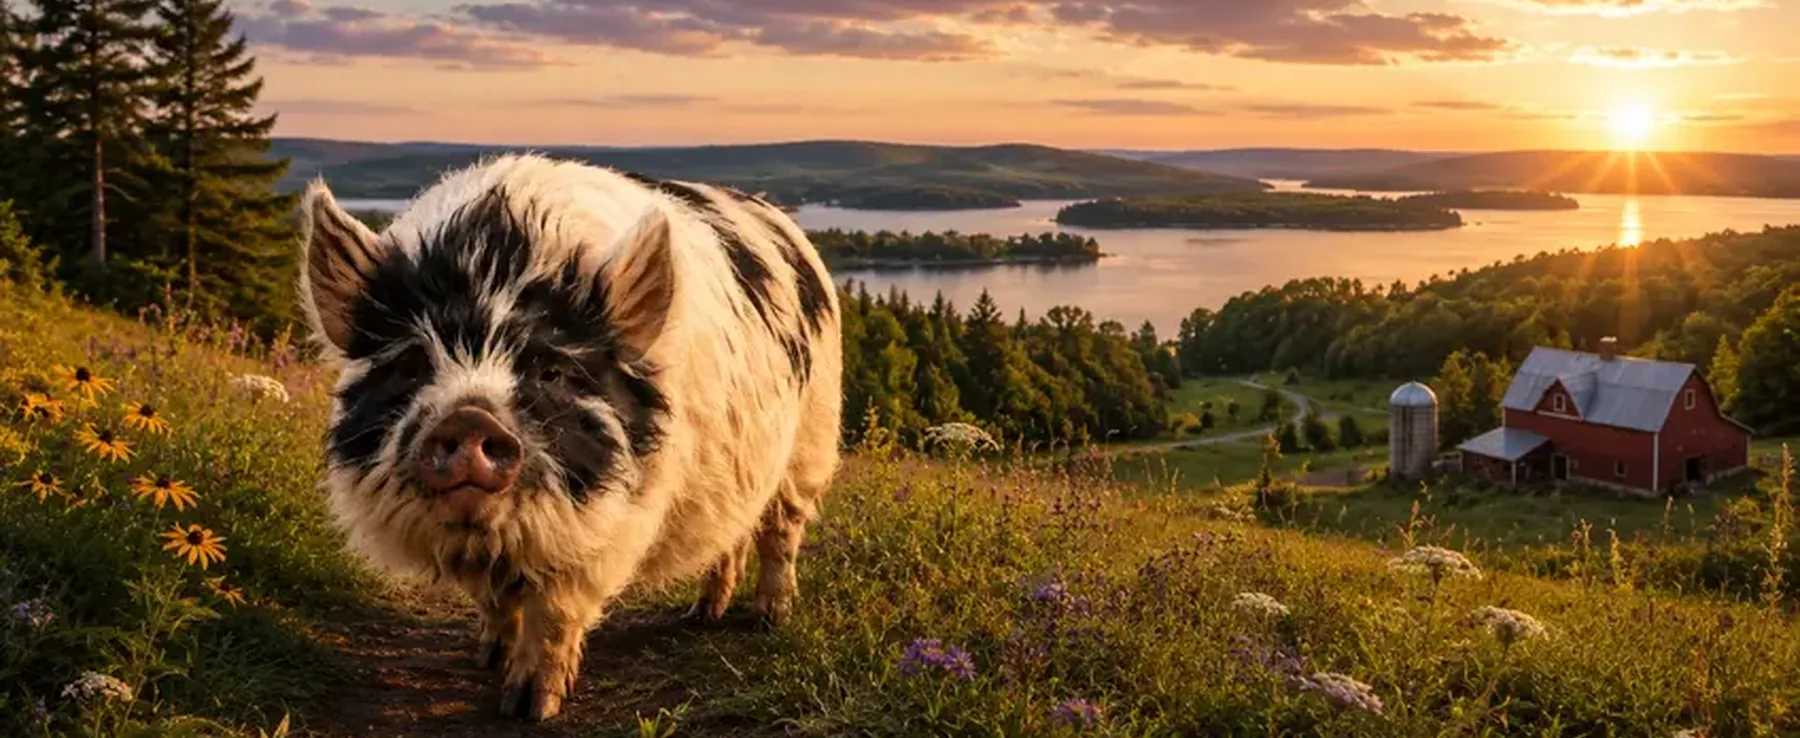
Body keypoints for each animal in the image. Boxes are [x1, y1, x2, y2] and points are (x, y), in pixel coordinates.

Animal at [294, 153, 842, 721]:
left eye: (551, 370)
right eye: (412, 363)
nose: (469, 418)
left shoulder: (606, 530)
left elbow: (555, 612)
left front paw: (528, 708)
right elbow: (492, 598)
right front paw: (487, 657)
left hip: (812, 440)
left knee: (781, 530)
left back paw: (770, 618)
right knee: (730, 534)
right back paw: (702, 613)